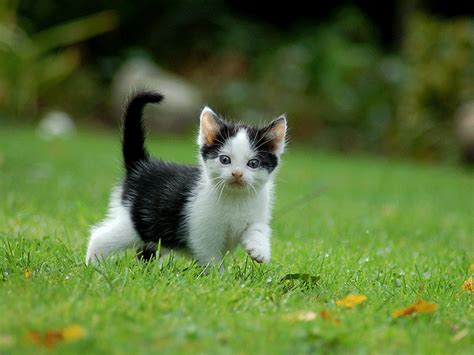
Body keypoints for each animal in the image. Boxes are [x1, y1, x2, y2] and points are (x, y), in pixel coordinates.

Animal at [84, 92, 286, 268]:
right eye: (224, 159)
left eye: (253, 163)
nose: (237, 174)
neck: (235, 198)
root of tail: (142, 165)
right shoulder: (202, 233)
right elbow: (211, 259)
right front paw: (217, 278)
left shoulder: (257, 214)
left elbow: (258, 229)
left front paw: (259, 250)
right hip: (136, 222)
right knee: (100, 236)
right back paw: (93, 266)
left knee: (147, 251)